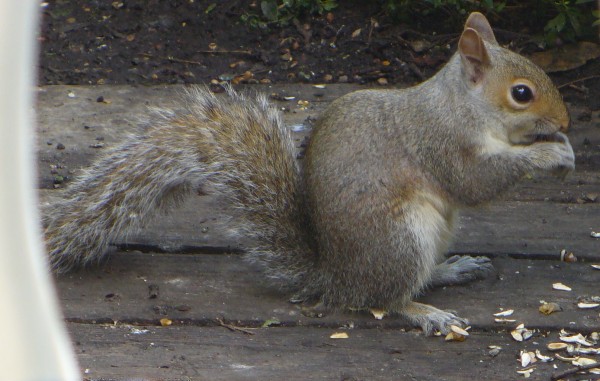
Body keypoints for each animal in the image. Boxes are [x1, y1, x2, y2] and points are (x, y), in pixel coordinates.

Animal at [44, 11, 576, 332]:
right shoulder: (439, 142)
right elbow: (474, 183)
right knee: (383, 298)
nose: (567, 122)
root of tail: (332, 277)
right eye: (522, 93)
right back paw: (425, 311)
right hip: (400, 238)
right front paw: (549, 155)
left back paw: (451, 269)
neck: (463, 105)